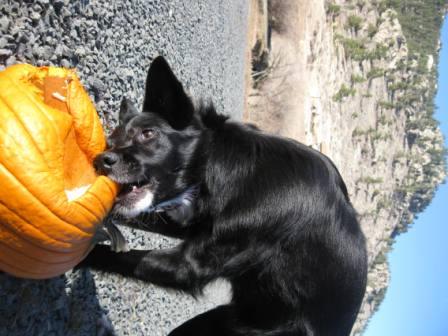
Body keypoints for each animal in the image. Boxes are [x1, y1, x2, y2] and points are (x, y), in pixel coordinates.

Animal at [82, 56, 366, 334]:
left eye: (148, 133)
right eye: (110, 142)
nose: (101, 160)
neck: (217, 163)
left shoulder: (187, 265)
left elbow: (109, 255)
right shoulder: (194, 224)